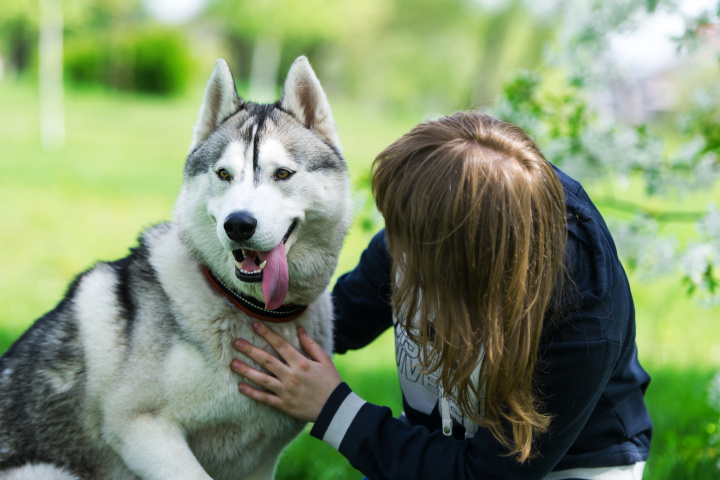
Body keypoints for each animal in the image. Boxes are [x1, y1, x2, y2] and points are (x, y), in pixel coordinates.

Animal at [0, 57, 352, 480]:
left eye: (282, 173)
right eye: (223, 174)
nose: (238, 224)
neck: (246, 307)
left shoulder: (259, 462)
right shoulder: (143, 431)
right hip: (46, 470)